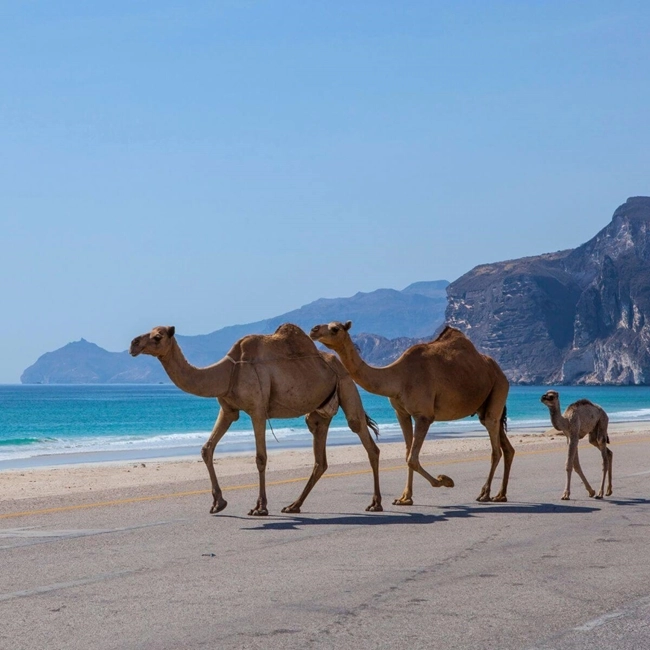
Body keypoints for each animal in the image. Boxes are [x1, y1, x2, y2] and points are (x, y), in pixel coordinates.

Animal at [130, 324, 382, 516]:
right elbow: (206, 449)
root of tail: (338, 362)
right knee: (320, 458)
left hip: (347, 385)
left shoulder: (257, 410)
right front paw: (218, 503)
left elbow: (261, 458)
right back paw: (293, 505)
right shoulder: (228, 410)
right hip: (319, 413)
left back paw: (375, 503)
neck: (228, 372)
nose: (133, 343)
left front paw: (260, 508)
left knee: (365, 438)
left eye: (158, 336)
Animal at [308, 322, 512, 504]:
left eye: (335, 328)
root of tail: (501, 372)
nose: (313, 330)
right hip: (484, 406)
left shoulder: (424, 415)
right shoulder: (401, 413)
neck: (399, 377)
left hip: (499, 387)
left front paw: (444, 480)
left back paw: (485, 494)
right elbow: (407, 453)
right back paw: (500, 495)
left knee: (495, 447)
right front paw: (405, 498)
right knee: (505, 445)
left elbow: (412, 458)